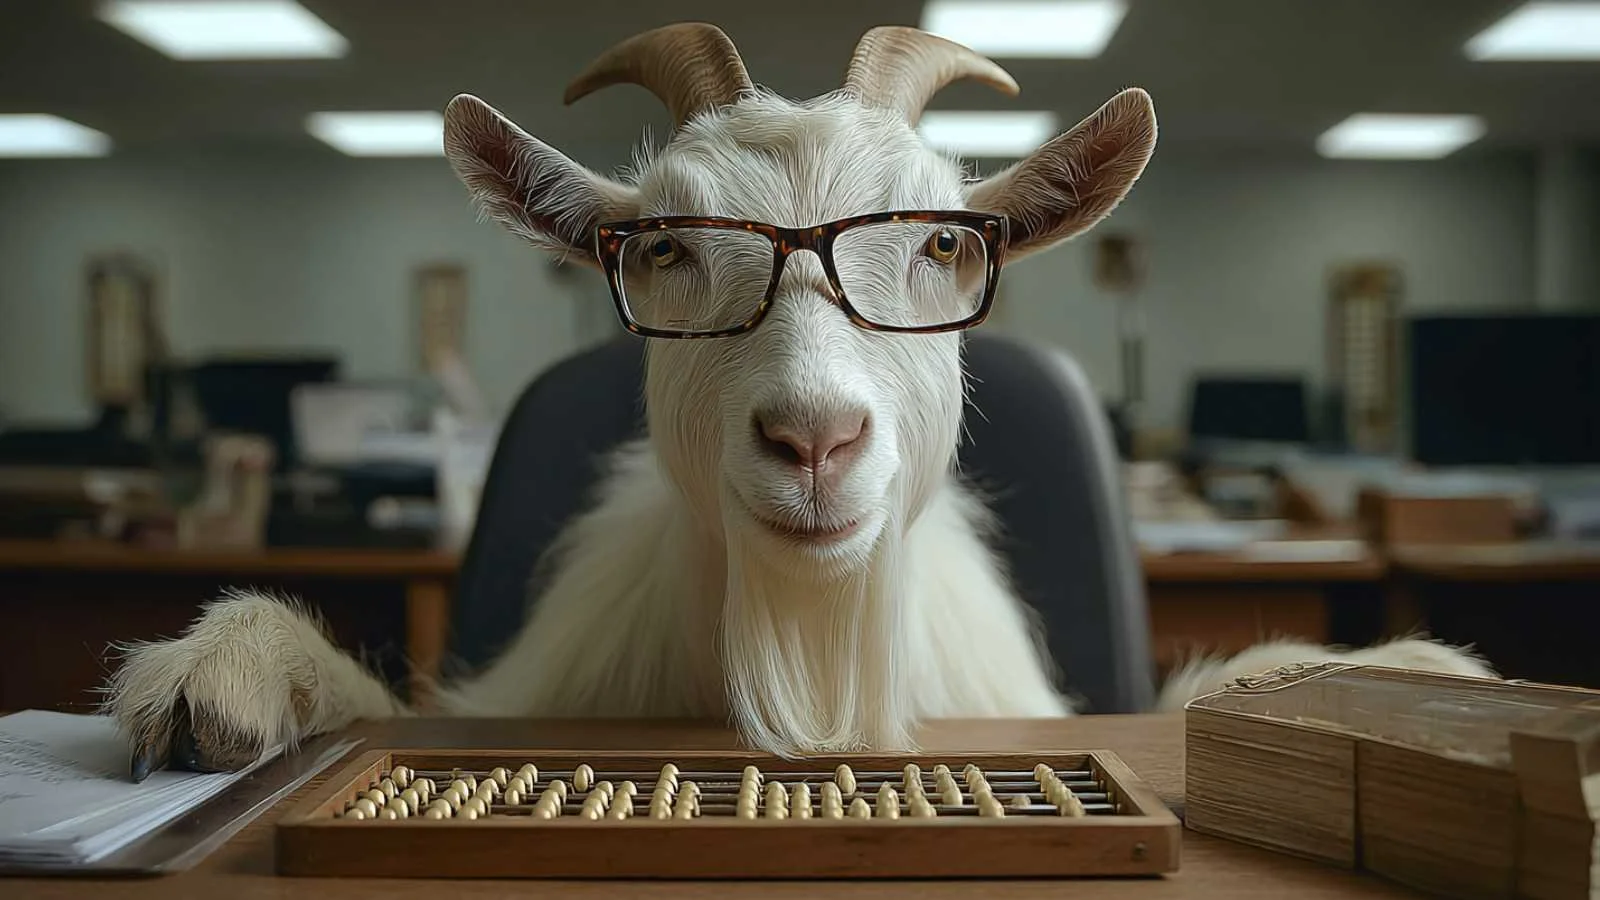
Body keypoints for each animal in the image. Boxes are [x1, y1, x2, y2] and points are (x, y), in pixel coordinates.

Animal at [104, 23, 1494, 780]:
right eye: (663, 245)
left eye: (944, 241)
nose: (814, 440)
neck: (804, 646)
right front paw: (224, 676)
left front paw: (1406, 673)